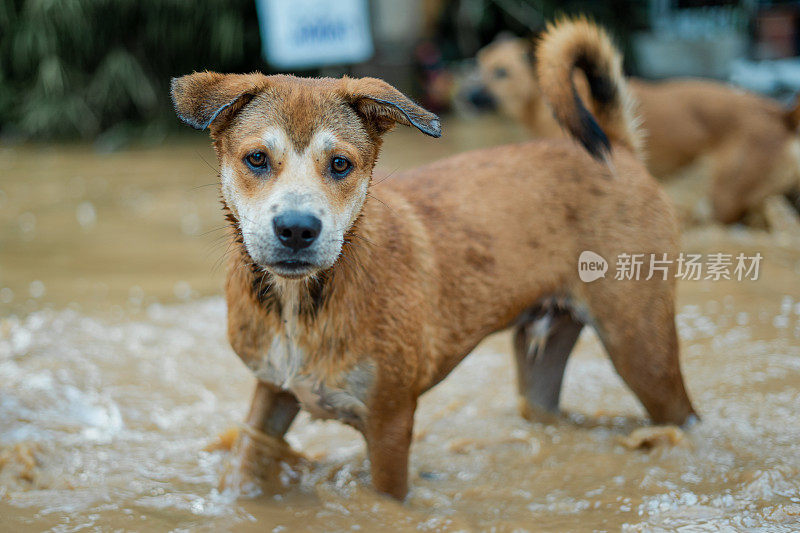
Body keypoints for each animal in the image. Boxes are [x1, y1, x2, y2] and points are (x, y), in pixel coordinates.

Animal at [173, 17, 692, 498]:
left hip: (641, 348)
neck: (301, 304)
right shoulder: (273, 392)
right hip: (543, 357)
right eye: (256, 158)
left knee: (682, 412)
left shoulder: (390, 422)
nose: (298, 229)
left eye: (340, 164)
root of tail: (618, 149)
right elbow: (248, 461)